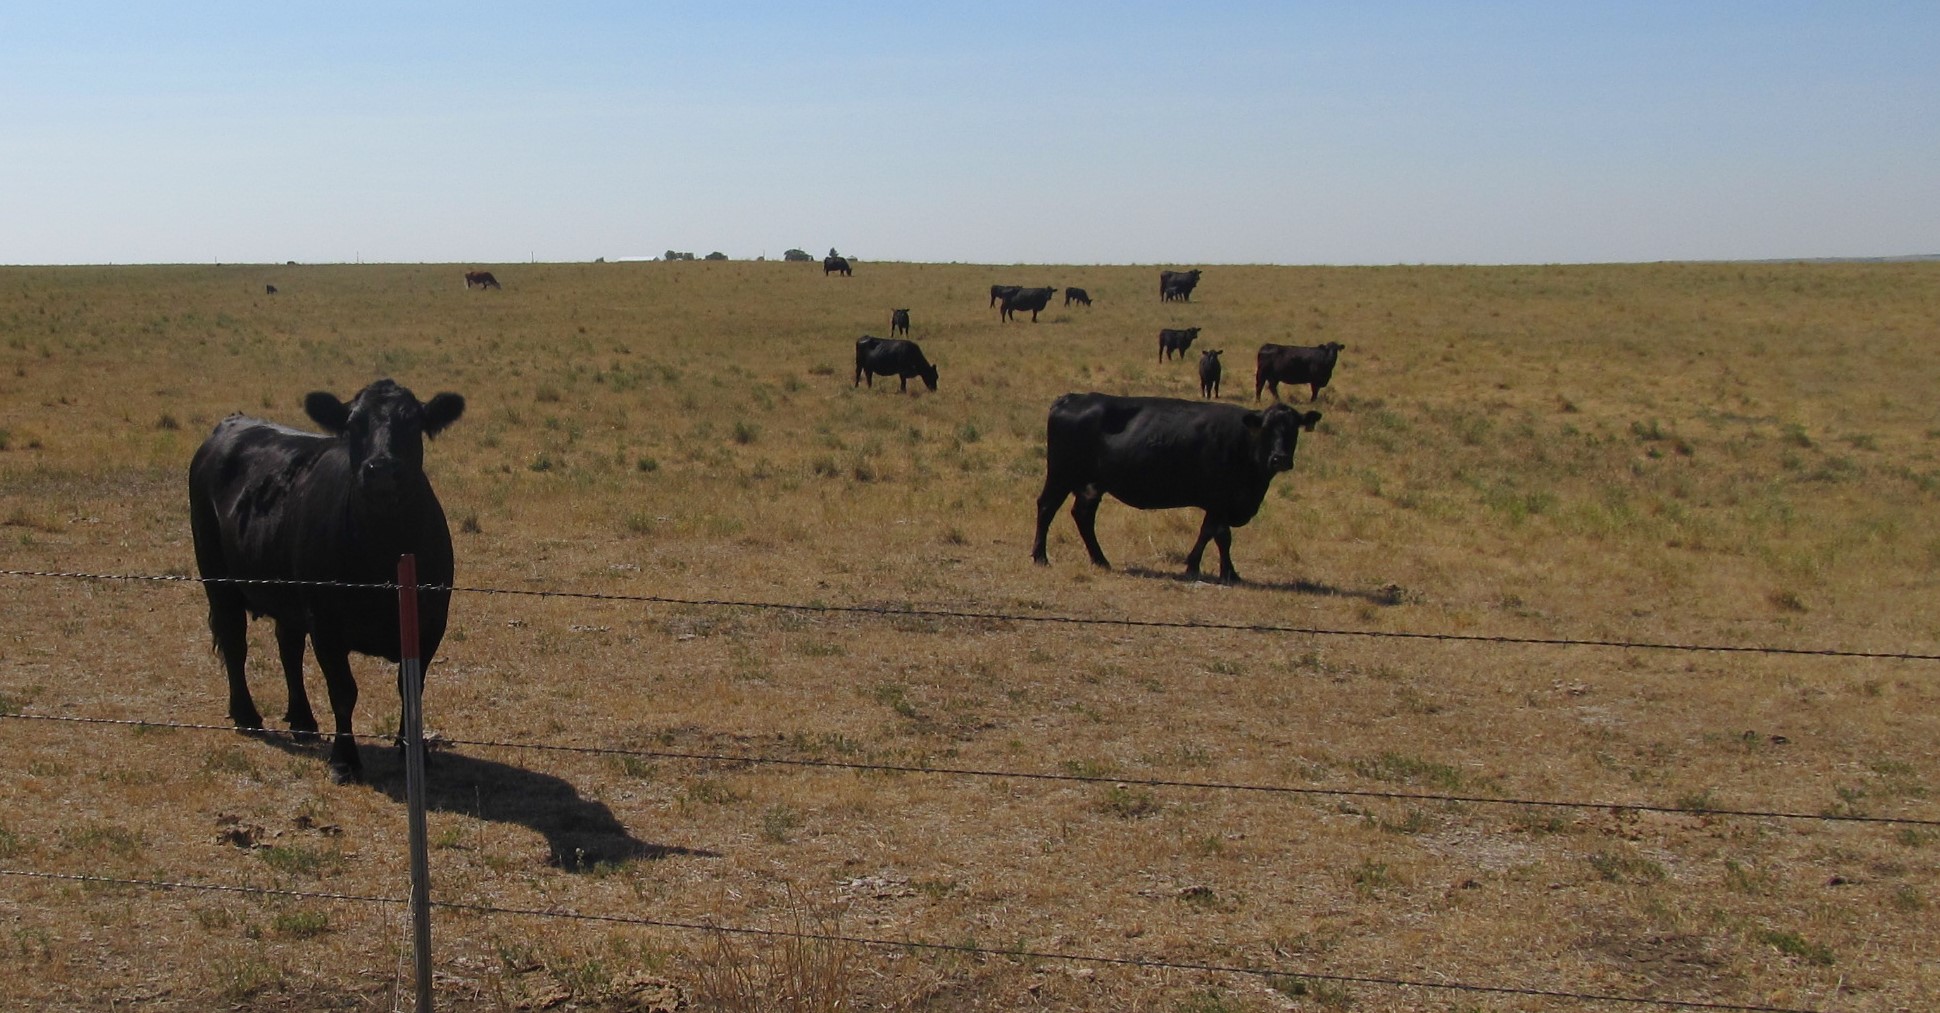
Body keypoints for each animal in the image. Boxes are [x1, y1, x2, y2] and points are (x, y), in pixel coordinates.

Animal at [187, 378, 467, 780]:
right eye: (353, 425)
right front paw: (344, 759)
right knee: (235, 643)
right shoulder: (326, 624)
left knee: (288, 648)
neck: (383, 552)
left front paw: (413, 752)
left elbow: (411, 687)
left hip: (287, 596)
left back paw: (302, 720)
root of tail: (231, 422)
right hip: (218, 579)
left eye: (413, 423)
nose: (382, 470)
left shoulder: (429, 622)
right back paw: (248, 715)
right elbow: (343, 691)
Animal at [1032, 393, 1319, 582]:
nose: (1280, 458)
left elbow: (1207, 533)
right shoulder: (1220, 500)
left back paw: (1100, 559)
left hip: (1091, 485)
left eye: (1294, 429)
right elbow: (1222, 536)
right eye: (1267, 429)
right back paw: (1040, 557)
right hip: (1060, 475)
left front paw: (1197, 566)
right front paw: (1227, 572)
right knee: (1046, 508)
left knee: (1083, 516)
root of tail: (1071, 398)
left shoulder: (1218, 504)